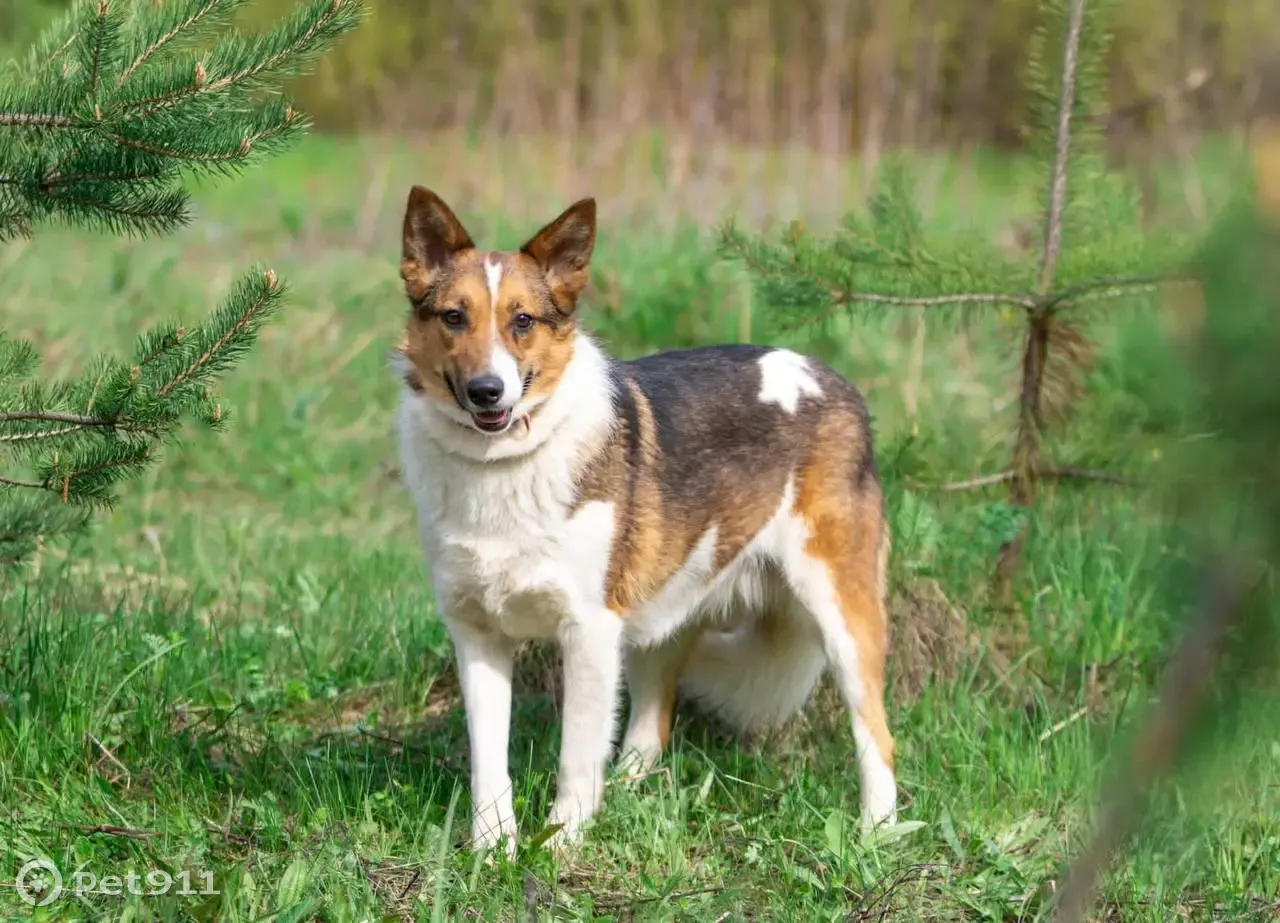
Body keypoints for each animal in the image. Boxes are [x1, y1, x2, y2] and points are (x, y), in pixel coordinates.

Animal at [391, 186, 901, 855]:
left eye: (522, 321)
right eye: (454, 317)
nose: (486, 391)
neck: (502, 465)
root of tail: (837, 383)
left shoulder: (588, 632)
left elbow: (575, 758)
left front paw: (559, 847)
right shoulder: (478, 636)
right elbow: (489, 764)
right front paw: (492, 851)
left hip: (839, 611)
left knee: (878, 735)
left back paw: (877, 833)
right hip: (656, 615)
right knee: (650, 728)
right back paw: (627, 793)